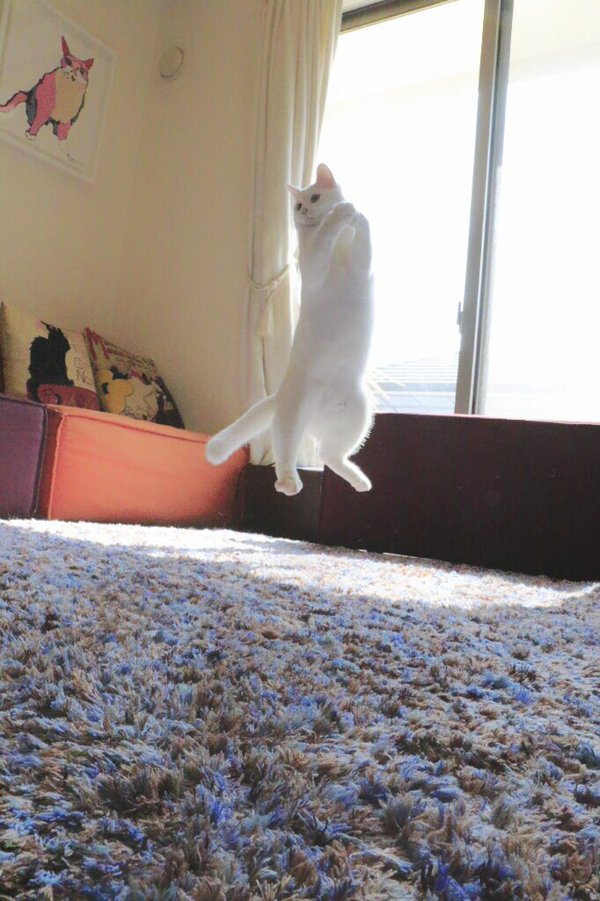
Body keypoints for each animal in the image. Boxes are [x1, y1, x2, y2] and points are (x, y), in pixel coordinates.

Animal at [206, 163, 374, 496]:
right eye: (298, 205)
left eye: (315, 197)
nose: (305, 212)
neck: (339, 246)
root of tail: (280, 394)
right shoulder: (314, 265)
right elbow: (325, 236)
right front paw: (340, 215)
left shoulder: (361, 264)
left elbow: (363, 239)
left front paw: (356, 215)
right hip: (294, 414)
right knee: (286, 449)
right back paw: (288, 482)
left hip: (358, 416)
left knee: (329, 455)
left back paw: (360, 481)